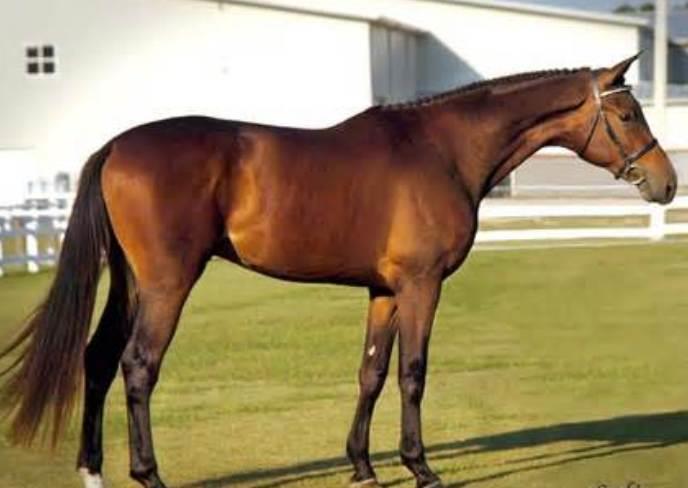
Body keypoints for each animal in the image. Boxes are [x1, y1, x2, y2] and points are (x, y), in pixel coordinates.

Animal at [0, 54, 677, 488]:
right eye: (627, 116)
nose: (666, 184)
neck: (443, 150)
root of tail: (117, 145)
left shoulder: (384, 290)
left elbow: (371, 373)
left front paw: (363, 466)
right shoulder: (421, 285)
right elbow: (412, 374)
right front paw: (419, 467)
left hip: (132, 281)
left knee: (98, 358)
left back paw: (93, 470)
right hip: (168, 283)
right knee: (139, 366)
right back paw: (149, 475)